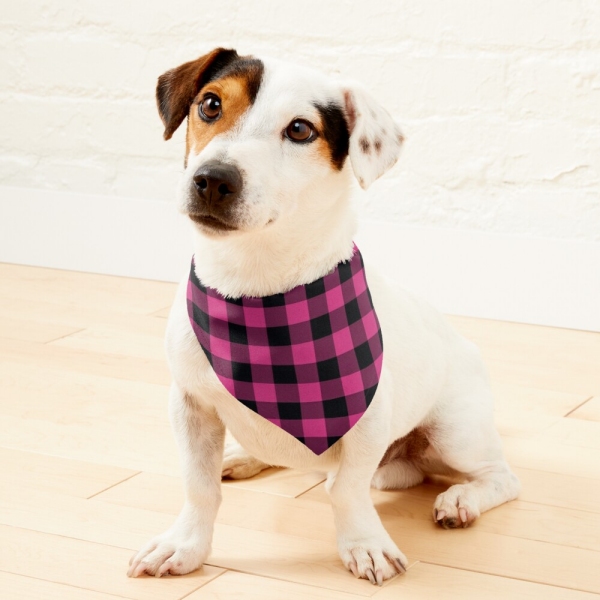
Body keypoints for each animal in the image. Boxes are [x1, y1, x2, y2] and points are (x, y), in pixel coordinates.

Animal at [127, 48, 520, 584]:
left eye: (299, 130)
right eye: (210, 104)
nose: (213, 179)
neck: (255, 288)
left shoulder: (368, 420)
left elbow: (347, 490)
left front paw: (364, 544)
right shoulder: (190, 405)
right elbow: (199, 485)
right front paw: (185, 545)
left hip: (456, 432)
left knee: (500, 477)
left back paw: (462, 499)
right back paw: (243, 456)